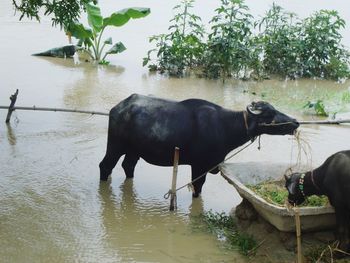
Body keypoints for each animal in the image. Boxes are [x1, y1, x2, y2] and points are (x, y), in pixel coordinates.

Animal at [100, 94, 300, 197]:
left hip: (135, 151)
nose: (296, 122)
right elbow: (197, 187)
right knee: (106, 165)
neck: (224, 126)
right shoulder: (199, 165)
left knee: (128, 165)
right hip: (115, 146)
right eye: (269, 114)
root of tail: (119, 108)